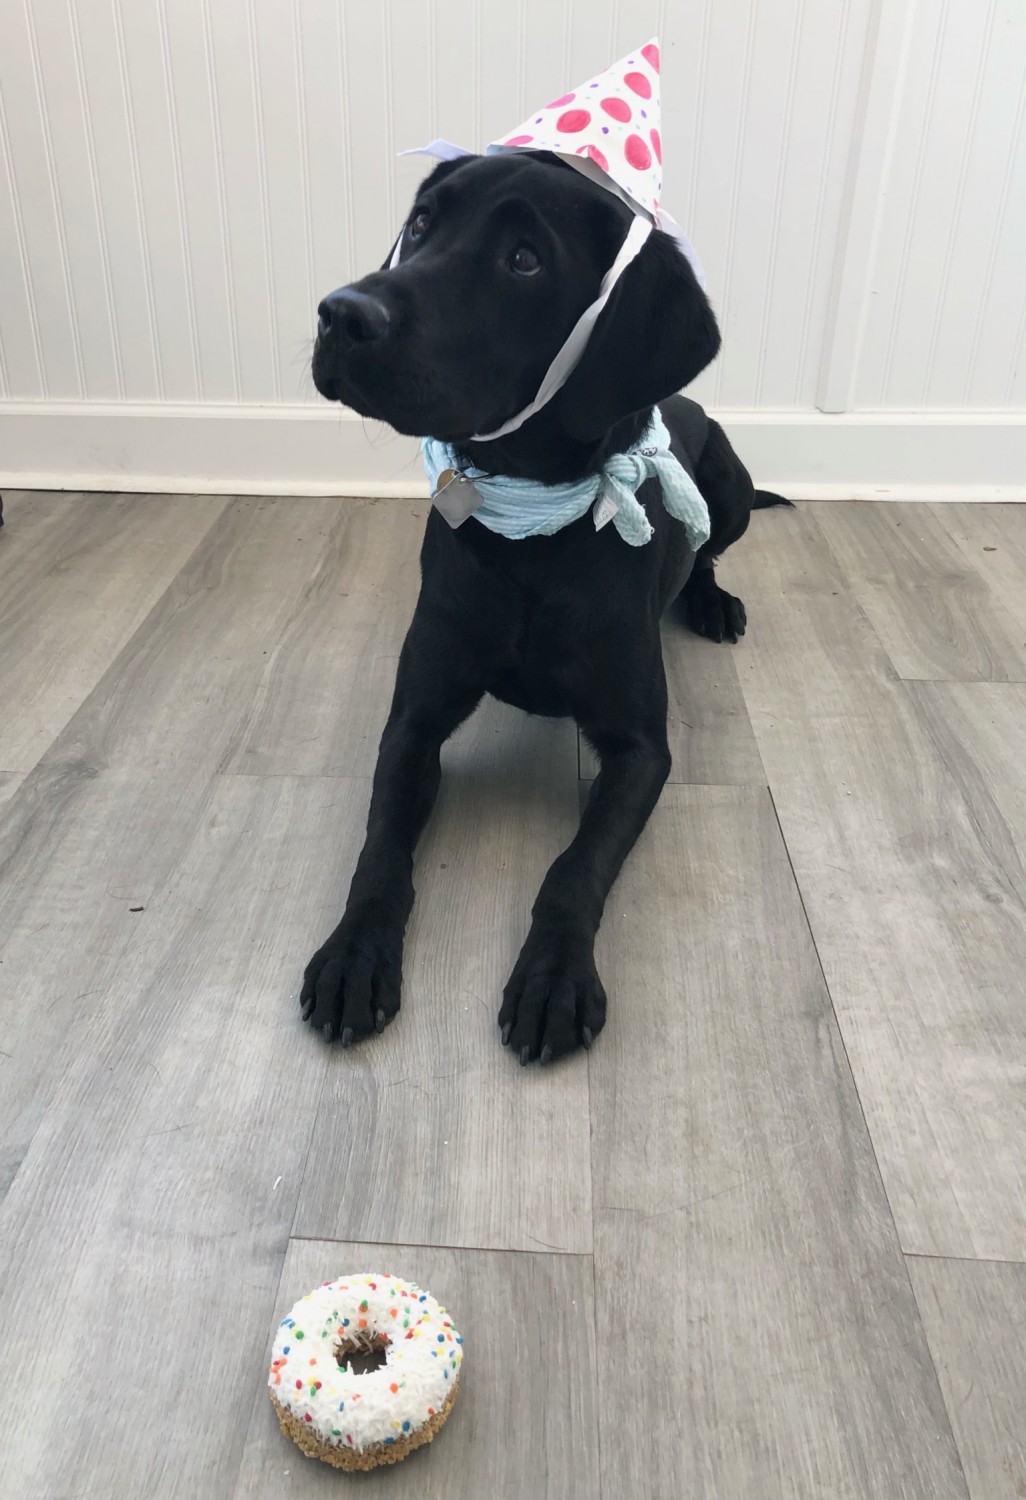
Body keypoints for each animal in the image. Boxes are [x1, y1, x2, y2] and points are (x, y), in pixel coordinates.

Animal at [304, 149, 786, 1068]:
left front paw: (555, 978)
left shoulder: (641, 750)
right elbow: (380, 850)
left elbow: (576, 868)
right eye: (422, 223)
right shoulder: (414, 719)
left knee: (711, 550)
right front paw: (353, 956)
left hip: (732, 486)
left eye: (524, 260)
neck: (528, 536)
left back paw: (713, 602)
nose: (340, 314)